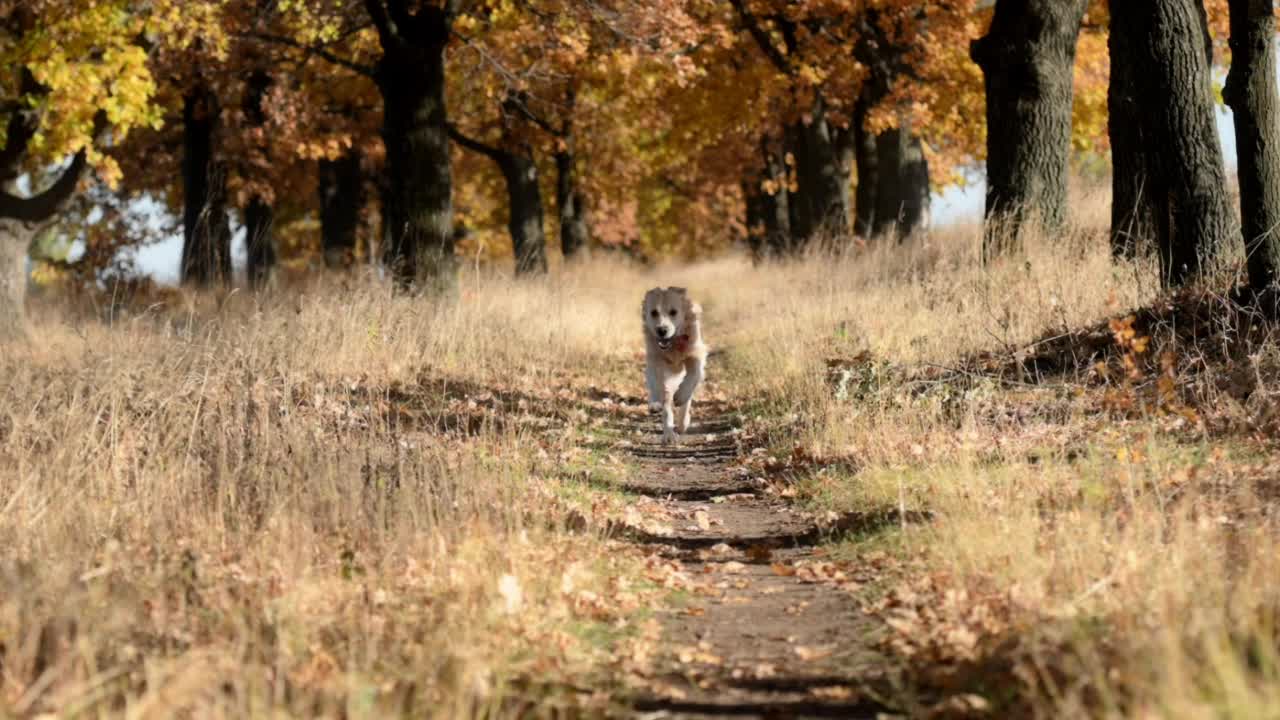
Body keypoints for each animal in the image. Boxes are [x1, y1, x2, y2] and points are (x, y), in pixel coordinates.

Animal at [645, 284, 706, 440]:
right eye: (654, 312)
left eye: (674, 312)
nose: (662, 330)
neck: (674, 344)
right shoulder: (656, 361)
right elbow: (663, 397)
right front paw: (668, 433)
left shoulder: (696, 353)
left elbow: (694, 376)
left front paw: (681, 396)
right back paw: (655, 404)